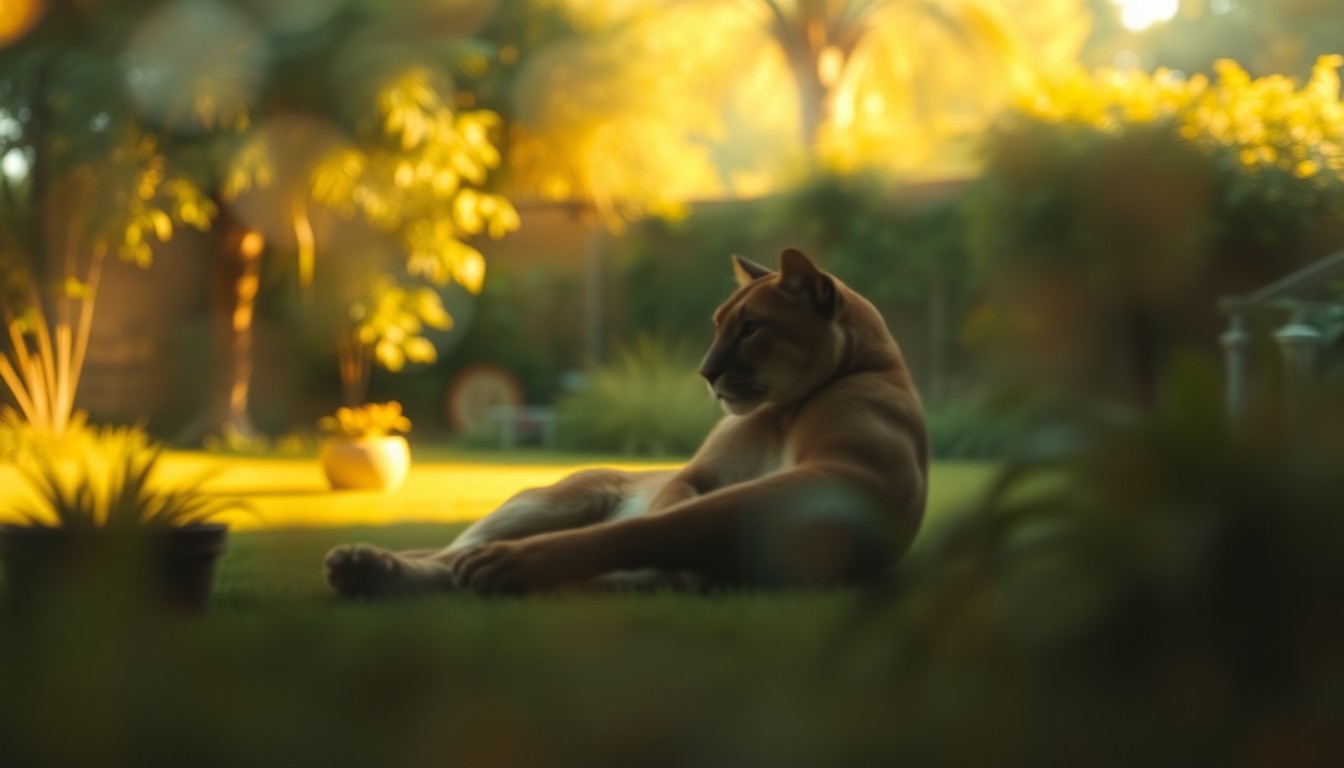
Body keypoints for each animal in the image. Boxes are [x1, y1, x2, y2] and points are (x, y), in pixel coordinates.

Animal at [324, 248, 927, 595]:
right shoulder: (702, 478)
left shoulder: (833, 476)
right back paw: (368, 565)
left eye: (752, 327)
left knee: (457, 561)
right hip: (547, 502)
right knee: (451, 553)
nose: (706, 371)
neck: (786, 409)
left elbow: (656, 529)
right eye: (718, 324)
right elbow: (663, 516)